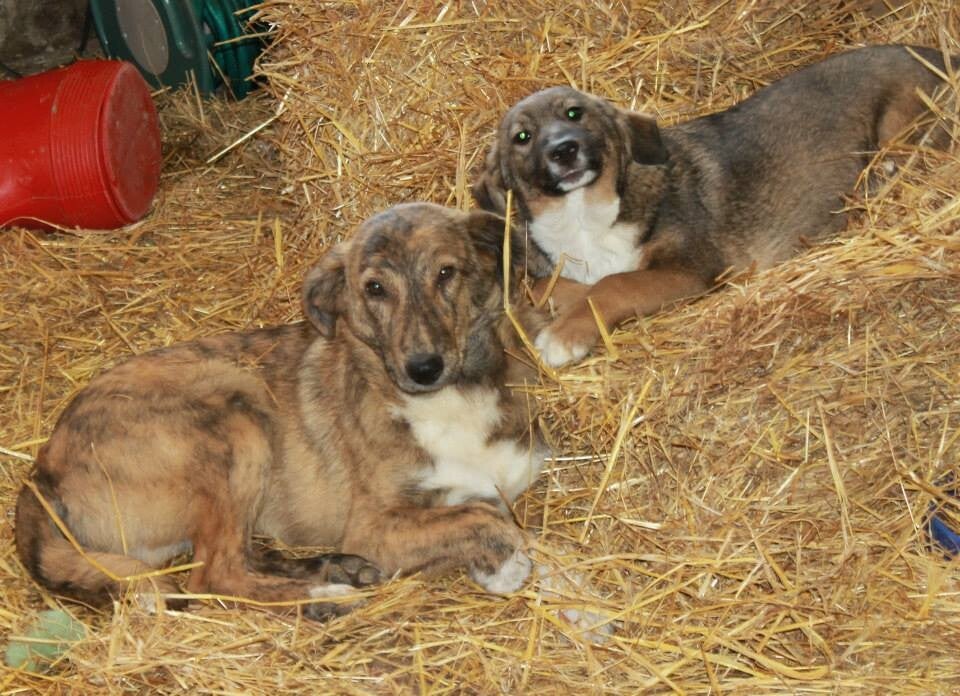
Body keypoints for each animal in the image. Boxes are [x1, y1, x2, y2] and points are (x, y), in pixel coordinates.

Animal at [15, 203, 548, 619]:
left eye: (446, 273)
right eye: (374, 289)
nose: (422, 368)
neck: (453, 399)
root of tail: (40, 473)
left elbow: (480, 508)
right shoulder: (375, 527)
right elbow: (480, 517)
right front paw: (506, 562)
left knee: (241, 554)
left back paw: (333, 567)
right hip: (235, 410)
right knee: (216, 573)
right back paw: (323, 594)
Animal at [473, 45, 955, 366]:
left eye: (575, 113)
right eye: (522, 137)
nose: (564, 149)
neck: (584, 217)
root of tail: (940, 52)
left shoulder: (692, 269)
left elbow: (615, 286)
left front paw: (563, 336)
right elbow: (557, 286)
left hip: (902, 131)